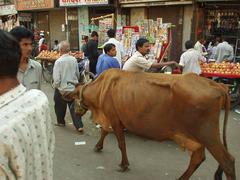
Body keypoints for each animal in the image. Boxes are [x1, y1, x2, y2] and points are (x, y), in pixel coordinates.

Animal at [66, 69, 235, 180]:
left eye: (75, 96)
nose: (75, 111)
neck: (101, 88)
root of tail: (217, 85)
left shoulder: (114, 118)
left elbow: (121, 143)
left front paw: (124, 165)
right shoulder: (112, 119)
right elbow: (104, 132)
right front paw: (98, 146)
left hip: (207, 133)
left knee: (227, 162)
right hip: (195, 137)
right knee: (198, 158)